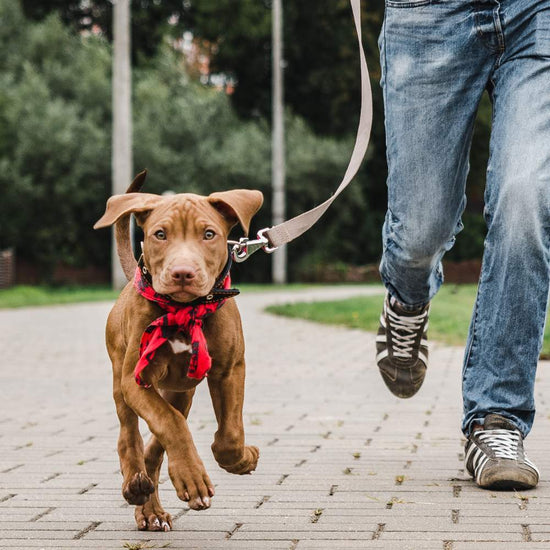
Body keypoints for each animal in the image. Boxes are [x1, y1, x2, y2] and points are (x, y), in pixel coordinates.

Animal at [94, 174, 264, 536]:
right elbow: (169, 424)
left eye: (209, 234)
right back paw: (136, 485)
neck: (185, 310)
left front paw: (242, 459)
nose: (183, 273)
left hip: (181, 391)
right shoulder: (136, 380)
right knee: (130, 436)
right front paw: (192, 477)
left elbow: (229, 435)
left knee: (157, 444)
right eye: (160, 234)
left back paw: (150, 507)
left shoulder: (230, 369)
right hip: (120, 380)